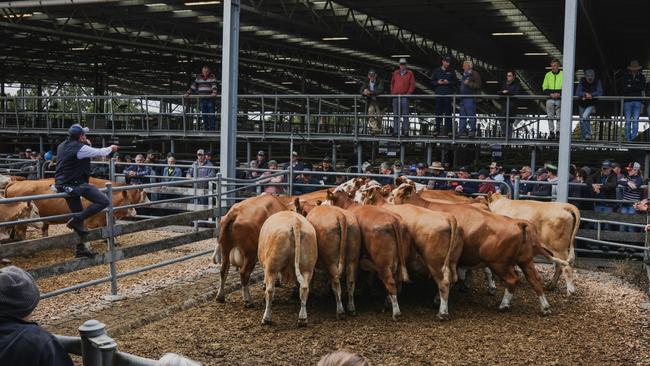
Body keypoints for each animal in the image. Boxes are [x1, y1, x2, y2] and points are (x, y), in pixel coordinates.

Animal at [322, 189, 408, 320]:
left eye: (329, 198)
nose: (320, 203)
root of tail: (394, 221)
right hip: (397, 261)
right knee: (397, 281)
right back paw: (387, 304)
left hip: (383, 264)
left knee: (390, 282)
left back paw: (396, 313)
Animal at [356, 184, 464, 318]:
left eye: (363, 195)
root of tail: (449, 217)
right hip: (453, 261)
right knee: (452, 279)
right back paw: (436, 301)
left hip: (435, 263)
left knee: (444, 282)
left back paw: (442, 313)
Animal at [390, 183, 560, 314]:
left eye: (392, 195)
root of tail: (517, 223)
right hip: (525, 261)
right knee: (535, 280)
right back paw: (545, 307)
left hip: (499, 263)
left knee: (512, 280)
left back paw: (504, 305)